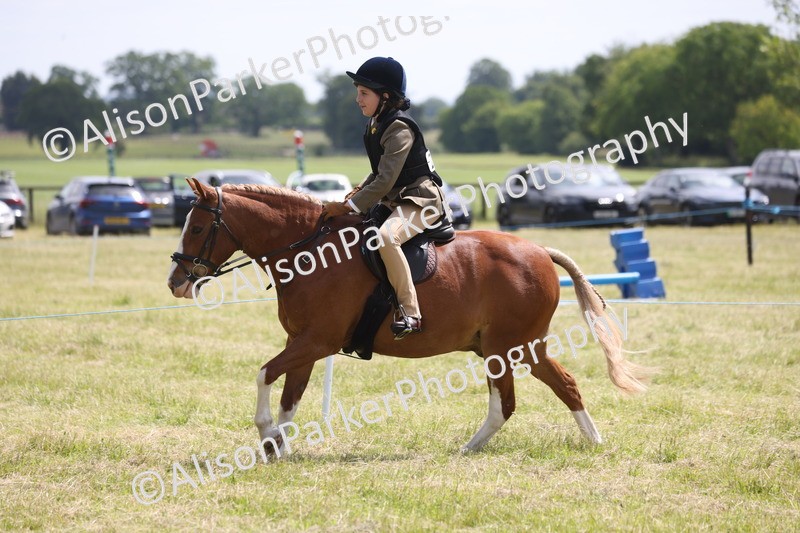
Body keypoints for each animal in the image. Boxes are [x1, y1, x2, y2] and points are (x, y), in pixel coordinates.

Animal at [167, 178, 650, 455]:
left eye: (197, 227)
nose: (175, 282)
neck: (309, 253)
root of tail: (540, 251)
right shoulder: (303, 344)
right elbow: (289, 395)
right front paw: (277, 446)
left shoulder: (317, 342)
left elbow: (264, 375)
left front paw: (266, 433)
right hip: (508, 349)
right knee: (540, 392)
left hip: (511, 347)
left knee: (532, 394)